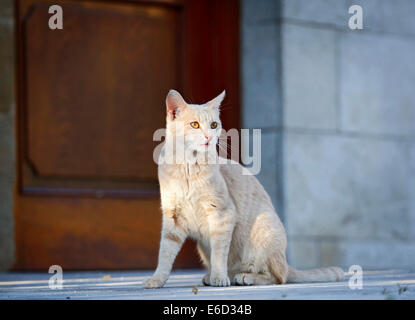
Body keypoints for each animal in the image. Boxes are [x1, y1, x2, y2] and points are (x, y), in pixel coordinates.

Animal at [145, 89, 346, 288]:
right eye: (194, 124)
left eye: (213, 124)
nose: (209, 137)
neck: (188, 167)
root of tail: (286, 263)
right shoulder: (173, 217)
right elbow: (165, 253)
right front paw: (157, 279)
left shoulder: (222, 214)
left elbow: (219, 252)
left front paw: (219, 277)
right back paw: (217, 276)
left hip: (264, 233)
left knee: (278, 277)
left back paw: (244, 277)